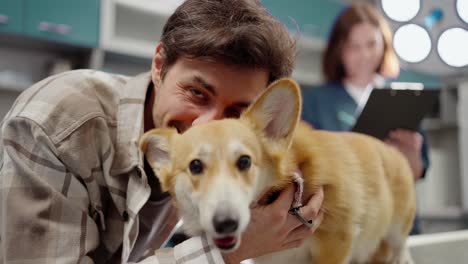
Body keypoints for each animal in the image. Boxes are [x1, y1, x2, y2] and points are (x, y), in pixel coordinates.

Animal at [140, 79, 416, 264]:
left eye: (244, 161)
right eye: (195, 166)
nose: (226, 223)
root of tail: (392, 151)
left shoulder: (337, 243)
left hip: (397, 233)